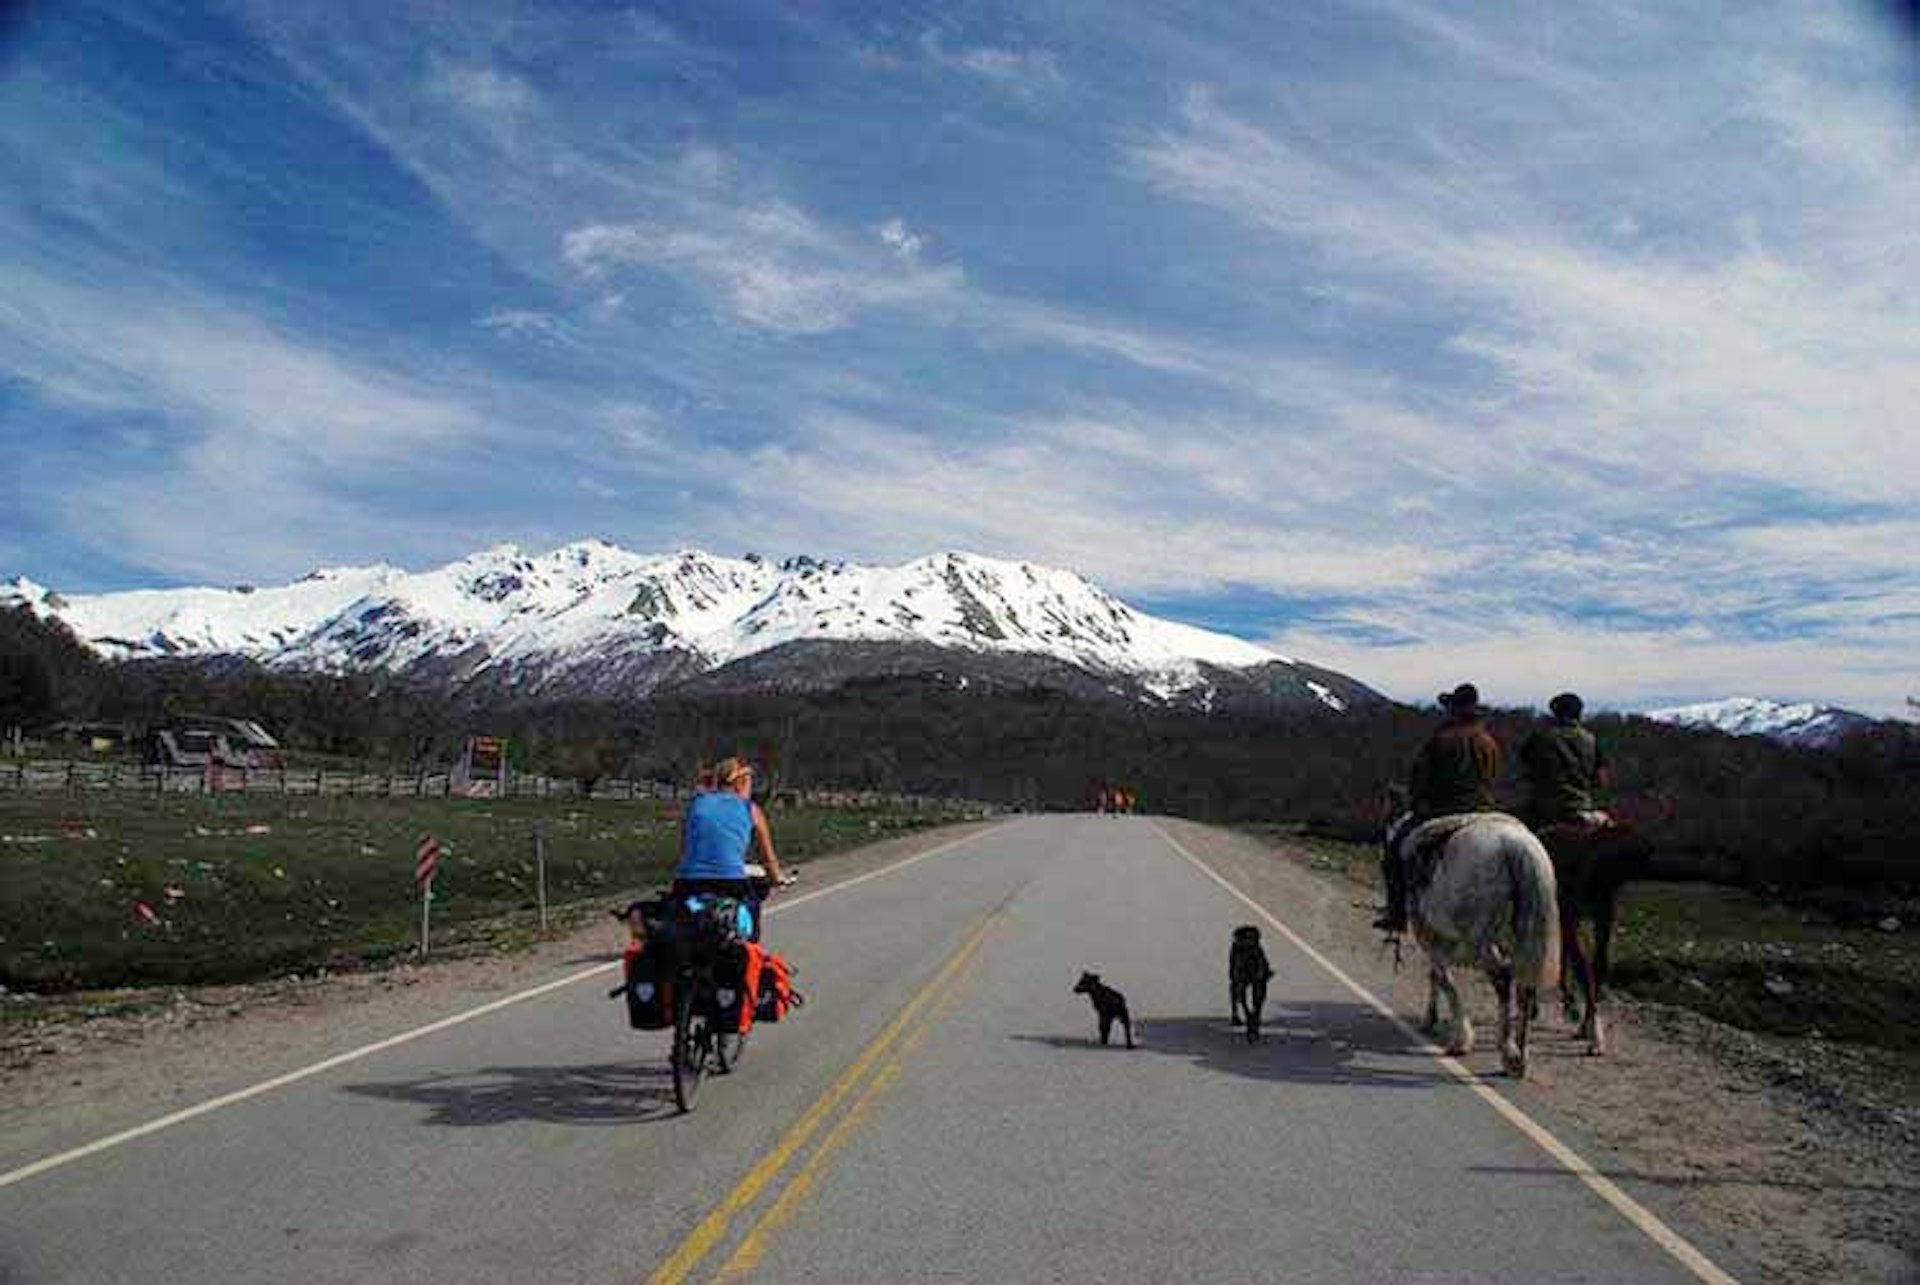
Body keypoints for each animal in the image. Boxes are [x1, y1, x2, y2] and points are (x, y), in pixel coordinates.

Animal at [1397, 810, 1559, 1075]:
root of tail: (1513, 844)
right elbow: (1437, 977)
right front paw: (1433, 1020)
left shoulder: (1430, 936)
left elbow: (1443, 979)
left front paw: (1458, 1038)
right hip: (1520, 941)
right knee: (1524, 986)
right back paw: (1520, 1057)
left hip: (1480, 941)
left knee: (1502, 978)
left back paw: (1507, 1051)